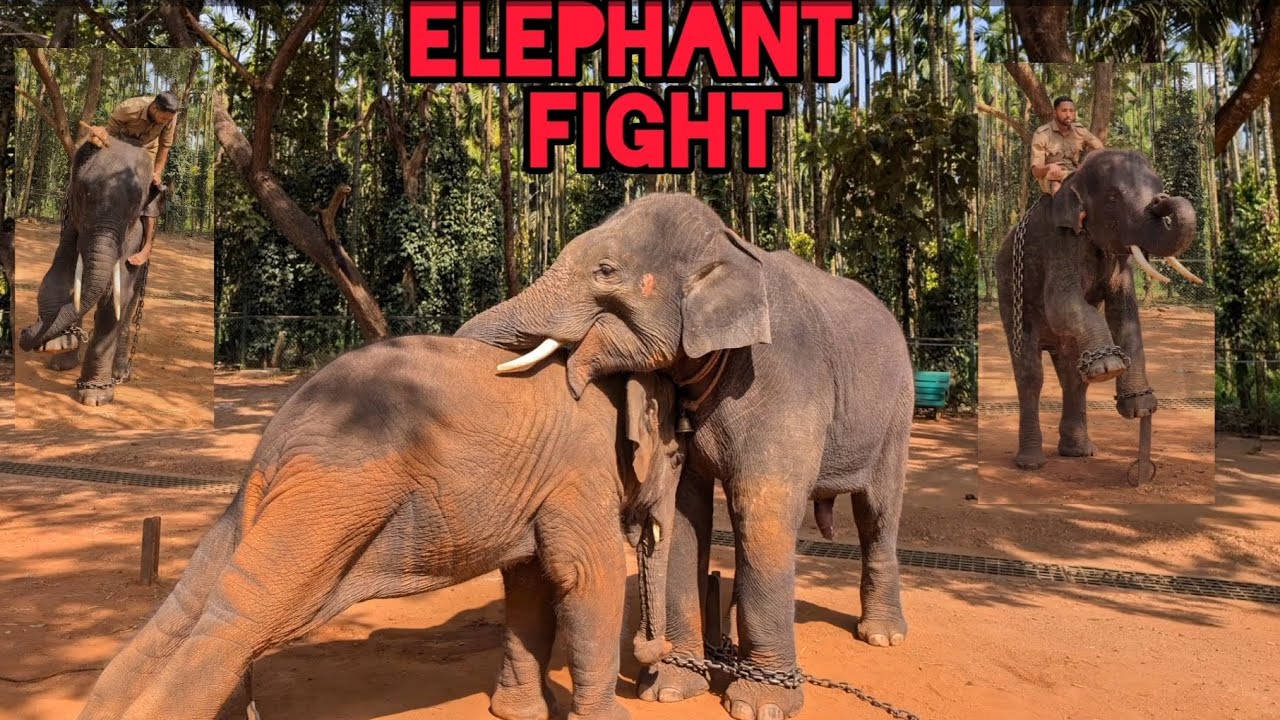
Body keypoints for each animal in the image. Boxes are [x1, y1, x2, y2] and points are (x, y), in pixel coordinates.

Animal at [17, 135, 155, 406]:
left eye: (136, 205)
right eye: (84, 193)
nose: (25, 332)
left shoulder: (134, 237)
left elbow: (116, 295)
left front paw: (94, 397)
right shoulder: (73, 221)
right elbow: (57, 277)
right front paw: (57, 345)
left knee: (131, 301)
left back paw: (120, 373)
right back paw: (63, 361)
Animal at [78, 336, 685, 720]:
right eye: (679, 458)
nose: (653, 661)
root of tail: (279, 433)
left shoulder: (541, 487)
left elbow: (531, 581)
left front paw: (521, 714)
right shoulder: (579, 473)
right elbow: (584, 576)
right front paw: (613, 718)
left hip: (271, 503)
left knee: (194, 599)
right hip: (334, 494)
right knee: (245, 613)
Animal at [457, 192, 915, 720]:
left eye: (606, 271)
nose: (649, 651)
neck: (730, 246)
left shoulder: (785, 382)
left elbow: (760, 511)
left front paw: (760, 706)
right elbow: (682, 512)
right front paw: (670, 691)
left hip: (898, 411)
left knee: (877, 511)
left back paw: (881, 636)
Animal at [994, 149, 1201, 470]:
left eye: (1157, 186)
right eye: (1113, 197)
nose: (1161, 200)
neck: (1075, 178)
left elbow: (1124, 311)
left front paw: (1141, 406)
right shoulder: (1061, 243)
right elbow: (1060, 303)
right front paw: (1109, 368)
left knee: (1072, 375)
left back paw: (1079, 450)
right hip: (1009, 291)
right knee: (1030, 374)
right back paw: (1030, 462)